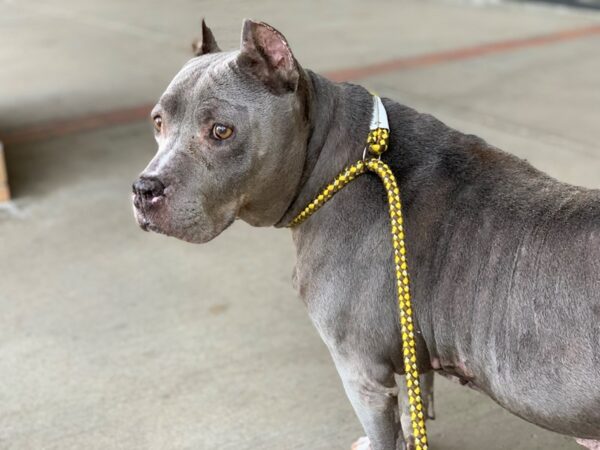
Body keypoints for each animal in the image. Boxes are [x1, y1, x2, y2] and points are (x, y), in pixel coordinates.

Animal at [132, 19, 600, 448]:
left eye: (221, 131)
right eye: (157, 121)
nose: (143, 189)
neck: (338, 163)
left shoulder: (362, 375)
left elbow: (382, 433)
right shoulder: (410, 351)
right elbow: (414, 406)